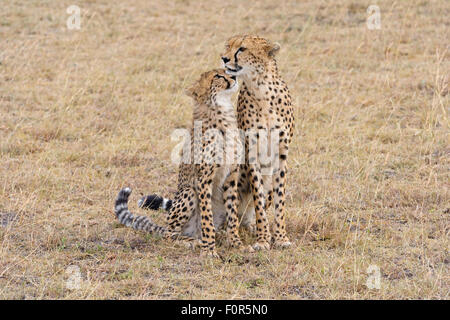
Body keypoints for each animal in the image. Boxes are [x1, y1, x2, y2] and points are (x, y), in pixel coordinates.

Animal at [112, 69, 248, 258]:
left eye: (225, 71)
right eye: (217, 76)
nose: (234, 77)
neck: (221, 113)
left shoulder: (231, 177)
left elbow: (232, 215)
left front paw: (237, 244)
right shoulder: (203, 180)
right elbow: (206, 218)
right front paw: (209, 250)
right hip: (188, 192)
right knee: (170, 233)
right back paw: (192, 241)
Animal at [221, 35, 296, 250]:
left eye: (242, 49)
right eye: (228, 45)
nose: (224, 58)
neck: (261, 88)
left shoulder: (282, 154)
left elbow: (279, 200)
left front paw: (280, 236)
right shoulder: (251, 152)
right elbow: (258, 200)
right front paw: (263, 239)